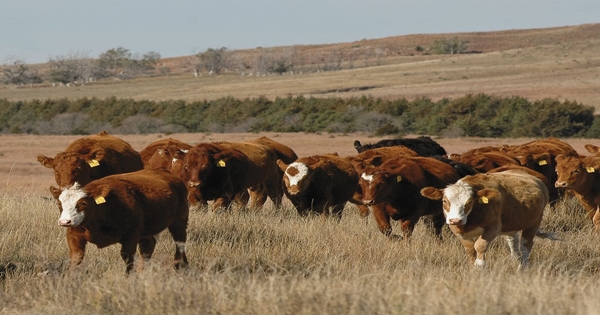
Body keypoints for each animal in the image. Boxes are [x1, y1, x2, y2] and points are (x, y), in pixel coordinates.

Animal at [50, 170, 189, 274]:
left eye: (83, 203)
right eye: (59, 203)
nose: (65, 221)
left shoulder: (130, 237)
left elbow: (128, 258)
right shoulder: (74, 235)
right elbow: (76, 257)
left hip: (179, 221)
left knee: (180, 243)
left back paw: (180, 266)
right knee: (147, 248)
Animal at [420, 170, 552, 270]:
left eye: (469, 202)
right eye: (445, 201)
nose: (456, 220)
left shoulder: (493, 228)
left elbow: (480, 246)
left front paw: (479, 266)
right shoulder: (456, 231)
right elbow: (470, 249)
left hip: (534, 222)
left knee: (525, 246)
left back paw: (522, 267)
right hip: (511, 225)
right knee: (513, 242)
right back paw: (516, 260)